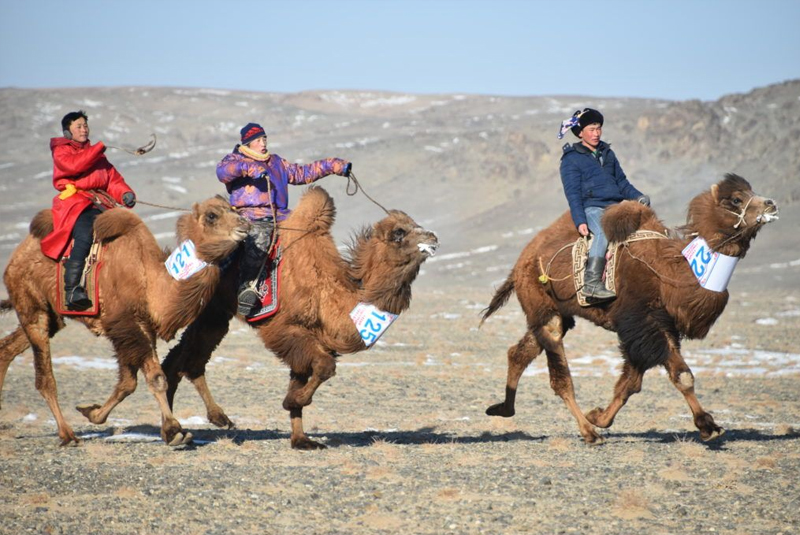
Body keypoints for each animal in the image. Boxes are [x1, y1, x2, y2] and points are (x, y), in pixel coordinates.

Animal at [0, 196, 249, 445]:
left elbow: (129, 383)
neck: (151, 281)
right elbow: (156, 378)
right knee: (45, 377)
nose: (245, 224)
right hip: (32, 306)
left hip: (51, 315)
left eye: (232, 208)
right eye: (212, 216)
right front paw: (174, 431)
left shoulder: (140, 327)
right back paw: (68, 434)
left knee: (7, 349)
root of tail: (17, 256)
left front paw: (92, 412)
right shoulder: (126, 324)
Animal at [159, 186, 439, 449]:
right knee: (186, 358)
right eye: (399, 233)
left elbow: (303, 376)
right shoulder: (285, 330)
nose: (433, 237)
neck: (330, 292)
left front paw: (302, 440)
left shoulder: (311, 339)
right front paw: (290, 402)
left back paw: (188, 427)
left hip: (215, 313)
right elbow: (325, 367)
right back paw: (186, 427)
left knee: (183, 360)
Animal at [481, 174, 779, 443]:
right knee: (559, 376)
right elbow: (681, 375)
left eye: (751, 190)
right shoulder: (644, 322)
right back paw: (588, 434)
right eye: (736, 199)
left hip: (557, 312)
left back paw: (504, 409)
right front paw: (708, 426)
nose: (771, 204)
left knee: (520, 352)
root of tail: (520, 264)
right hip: (543, 304)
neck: (670, 270)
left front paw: (599, 416)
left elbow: (632, 383)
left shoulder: (655, 326)